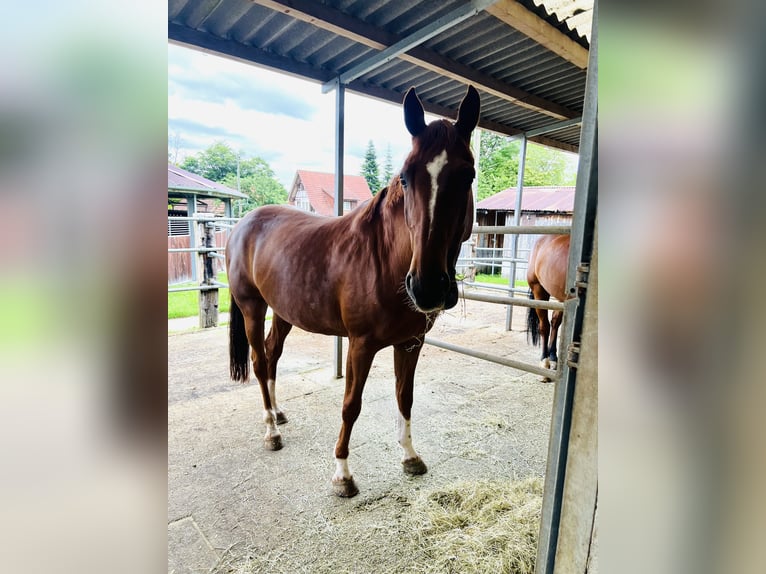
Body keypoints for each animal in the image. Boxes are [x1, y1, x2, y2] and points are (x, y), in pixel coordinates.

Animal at [225, 85, 484, 500]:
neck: (385, 259)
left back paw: (278, 412)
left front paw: (410, 456)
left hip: (282, 312)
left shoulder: (410, 343)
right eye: (405, 178)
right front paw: (342, 474)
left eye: (468, 174)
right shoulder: (360, 345)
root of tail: (243, 224)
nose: (427, 287)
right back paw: (271, 430)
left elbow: (405, 396)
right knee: (260, 362)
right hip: (252, 307)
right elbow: (351, 405)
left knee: (272, 355)